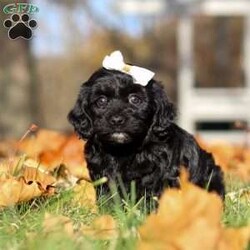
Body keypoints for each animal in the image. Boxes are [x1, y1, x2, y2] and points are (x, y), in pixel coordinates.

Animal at [68, 68, 225, 199]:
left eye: (135, 99)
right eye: (101, 101)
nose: (117, 120)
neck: (123, 149)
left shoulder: (159, 173)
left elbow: (150, 192)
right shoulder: (101, 173)